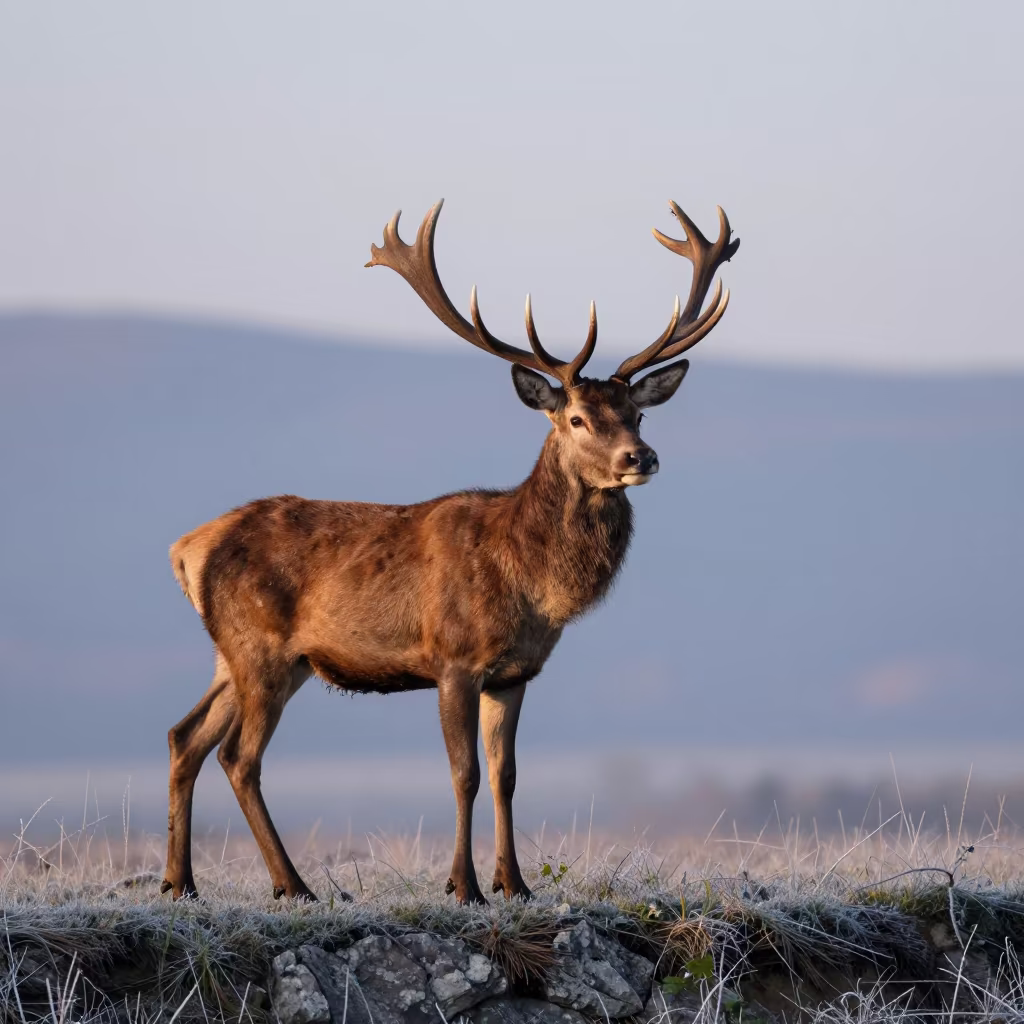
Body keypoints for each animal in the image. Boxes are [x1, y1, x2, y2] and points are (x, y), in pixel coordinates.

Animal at [161, 197, 739, 905]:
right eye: (576, 419)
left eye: (639, 415)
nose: (641, 458)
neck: (531, 589)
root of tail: (187, 548)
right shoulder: (454, 660)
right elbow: (464, 774)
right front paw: (463, 886)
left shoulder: (516, 674)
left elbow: (506, 776)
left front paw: (514, 883)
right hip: (260, 648)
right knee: (238, 756)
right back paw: (293, 885)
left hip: (246, 655)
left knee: (185, 737)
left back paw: (180, 882)